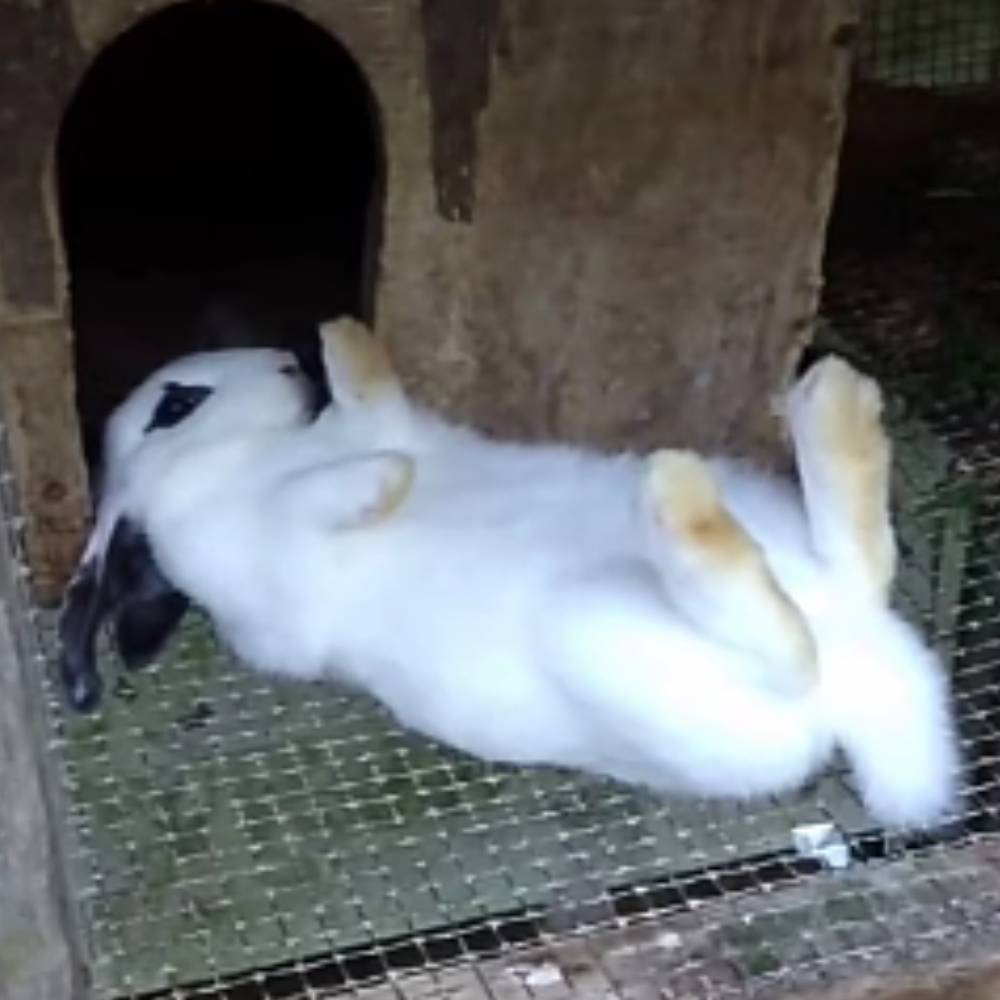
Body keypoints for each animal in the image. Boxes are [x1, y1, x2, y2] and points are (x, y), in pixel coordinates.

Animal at [59, 318, 961, 831]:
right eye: (175, 405)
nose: (286, 362)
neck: (257, 458)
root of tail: (867, 678)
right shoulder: (266, 579)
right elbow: (323, 492)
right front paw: (386, 482)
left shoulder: (385, 426)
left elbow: (376, 402)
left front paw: (342, 333)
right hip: (607, 635)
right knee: (793, 643)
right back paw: (681, 500)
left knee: (860, 562)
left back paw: (833, 403)